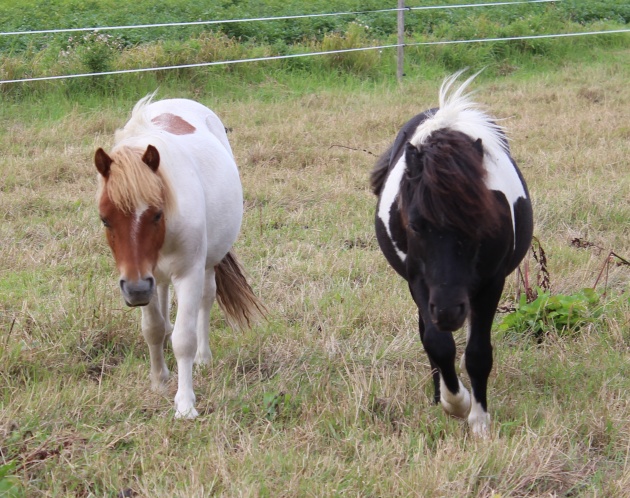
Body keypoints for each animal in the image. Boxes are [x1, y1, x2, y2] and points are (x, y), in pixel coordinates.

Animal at [94, 94, 264, 420]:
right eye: (105, 220)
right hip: (155, 278)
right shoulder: (141, 275)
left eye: (157, 214)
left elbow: (184, 339)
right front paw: (159, 380)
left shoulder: (188, 274)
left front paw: (185, 404)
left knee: (206, 301)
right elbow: (152, 329)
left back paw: (204, 357)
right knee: (161, 298)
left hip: (205, 266)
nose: (135, 291)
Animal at [372, 71, 536, 436]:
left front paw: (479, 420)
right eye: (415, 225)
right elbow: (437, 342)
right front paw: (455, 402)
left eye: (481, 222)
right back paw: (439, 396)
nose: (449, 311)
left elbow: (478, 353)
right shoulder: (419, 281)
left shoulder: (491, 283)